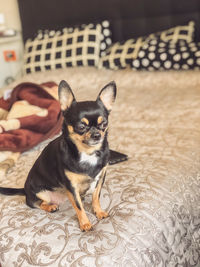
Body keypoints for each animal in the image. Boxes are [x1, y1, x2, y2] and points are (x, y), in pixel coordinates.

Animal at [0, 80, 116, 232]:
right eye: (81, 127)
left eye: (104, 124)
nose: (97, 135)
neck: (87, 153)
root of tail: (25, 190)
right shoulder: (71, 187)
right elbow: (79, 207)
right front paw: (85, 223)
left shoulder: (101, 178)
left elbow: (96, 197)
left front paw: (99, 212)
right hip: (40, 193)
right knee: (36, 203)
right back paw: (50, 206)